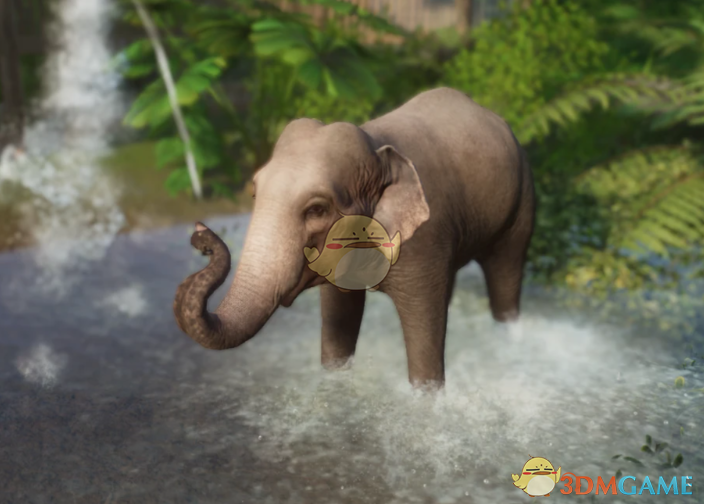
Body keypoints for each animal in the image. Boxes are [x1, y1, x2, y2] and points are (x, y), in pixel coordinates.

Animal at [173, 87, 535, 389]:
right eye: (254, 191)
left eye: (316, 209)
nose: (200, 233)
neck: (378, 149)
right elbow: (339, 312)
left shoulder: (424, 236)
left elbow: (423, 321)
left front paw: (427, 398)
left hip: (521, 202)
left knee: (505, 268)